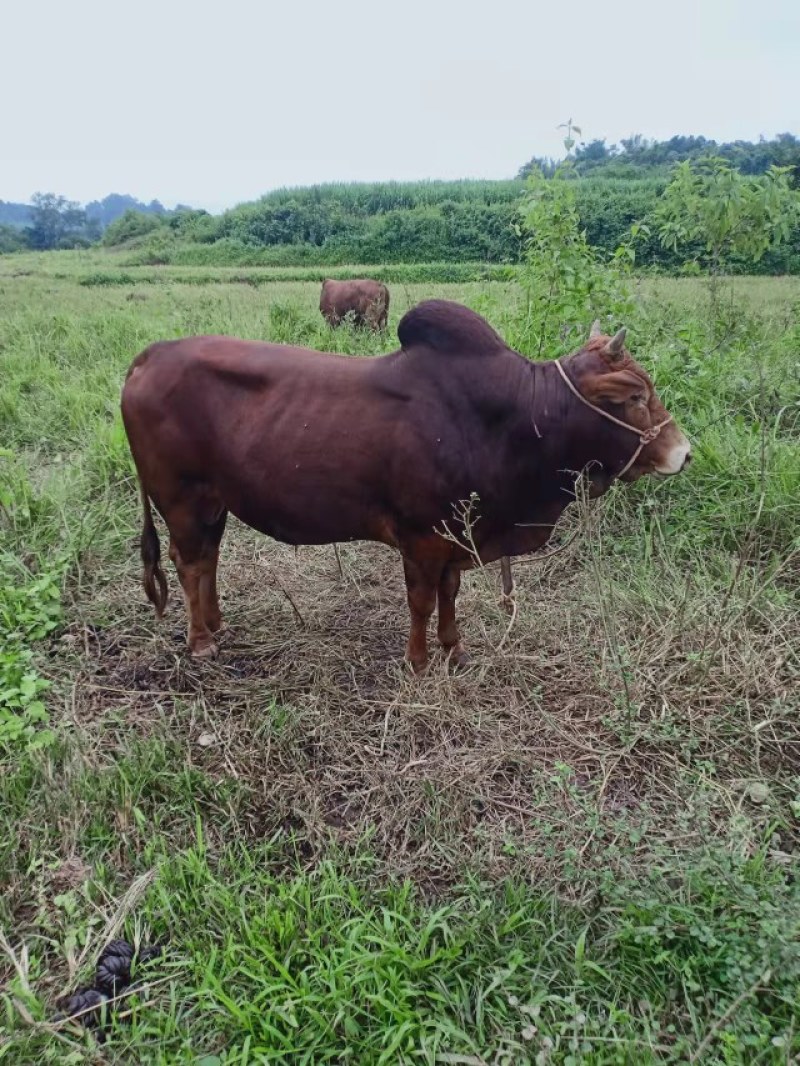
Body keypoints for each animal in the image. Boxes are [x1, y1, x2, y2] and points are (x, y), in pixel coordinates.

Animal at [122, 300, 691, 665]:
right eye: (634, 396)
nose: (683, 453)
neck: (514, 417)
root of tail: (149, 355)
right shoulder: (420, 537)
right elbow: (421, 600)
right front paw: (418, 660)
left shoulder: (458, 535)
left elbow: (450, 593)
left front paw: (454, 649)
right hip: (182, 498)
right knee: (189, 563)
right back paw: (201, 641)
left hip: (214, 502)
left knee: (208, 559)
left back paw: (216, 622)